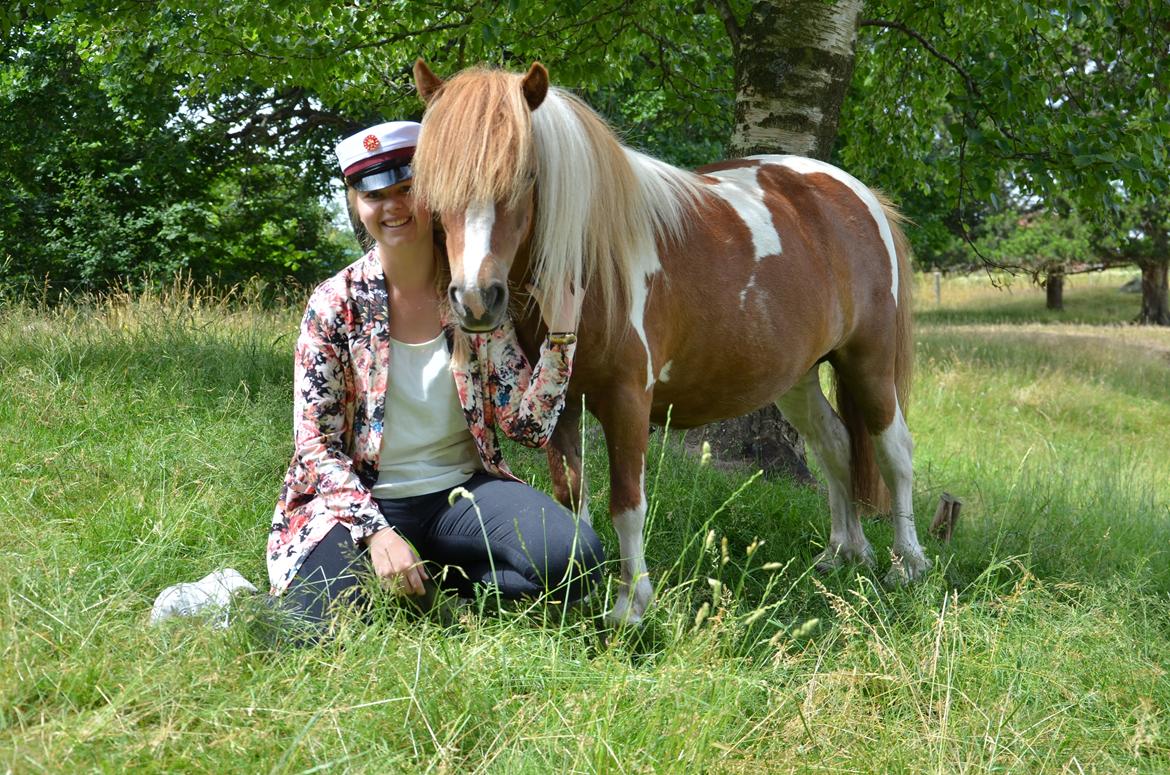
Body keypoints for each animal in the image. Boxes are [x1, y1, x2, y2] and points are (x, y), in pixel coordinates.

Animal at [411, 60, 931, 627]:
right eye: (433, 182)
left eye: (526, 176)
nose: (475, 299)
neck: (594, 262)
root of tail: (858, 195)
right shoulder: (559, 406)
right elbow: (571, 501)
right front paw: (576, 595)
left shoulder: (627, 400)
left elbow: (626, 502)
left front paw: (629, 606)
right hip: (797, 376)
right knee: (837, 445)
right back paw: (844, 550)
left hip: (868, 361)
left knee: (894, 452)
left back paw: (907, 563)